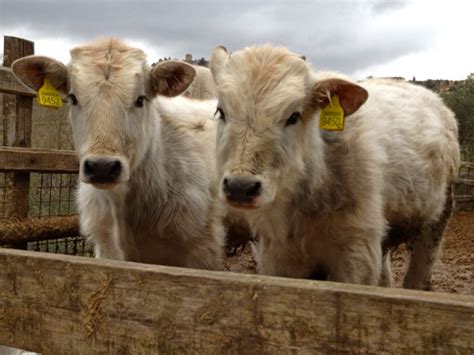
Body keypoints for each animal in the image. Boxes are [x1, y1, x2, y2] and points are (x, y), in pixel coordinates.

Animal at [210, 44, 460, 290]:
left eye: (293, 116)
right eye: (221, 111)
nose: (240, 188)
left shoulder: (357, 253)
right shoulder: (275, 256)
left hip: (435, 222)